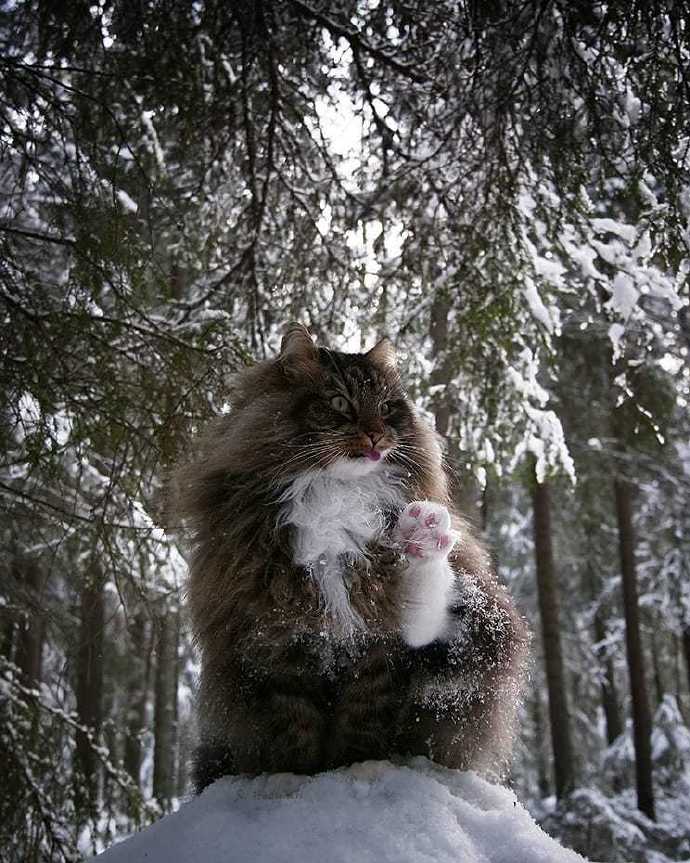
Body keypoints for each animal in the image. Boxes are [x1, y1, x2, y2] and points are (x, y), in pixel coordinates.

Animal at [171, 322, 528, 788]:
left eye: (388, 407)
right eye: (340, 402)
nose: (376, 433)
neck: (336, 499)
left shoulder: (377, 650)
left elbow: (361, 727)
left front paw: (354, 769)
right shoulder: (276, 644)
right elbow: (297, 734)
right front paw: (300, 779)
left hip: (477, 633)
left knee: (431, 624)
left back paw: (423, 540)